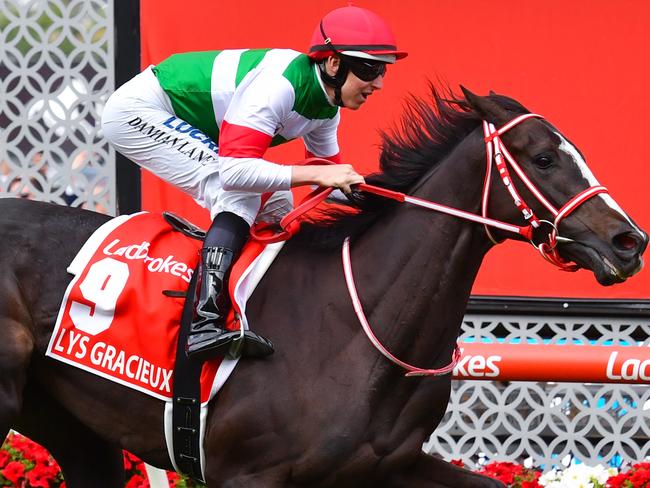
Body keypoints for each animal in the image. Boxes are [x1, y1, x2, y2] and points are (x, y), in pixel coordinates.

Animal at [1, 88, 644, 488]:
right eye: (543, 159)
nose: (628, 242)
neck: (356, 332)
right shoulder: (245, 473)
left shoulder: (388, 467)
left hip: (70, 426)